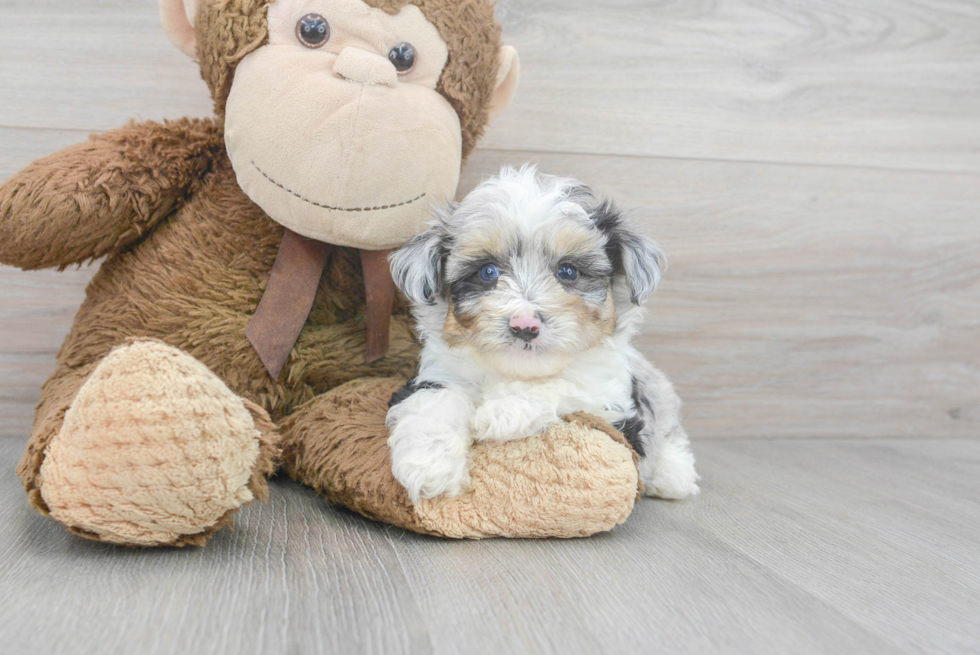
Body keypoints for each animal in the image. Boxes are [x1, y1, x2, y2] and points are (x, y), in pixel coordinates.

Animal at [382, 167, 696, 504]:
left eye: (568, 272)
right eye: (487, 272)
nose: (525, 325)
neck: (515, 371)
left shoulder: (614, 408)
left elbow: (565, 385)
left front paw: (503, 411)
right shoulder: (438, 374)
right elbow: (434, 401)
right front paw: (429, 465)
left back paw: (673, 474)